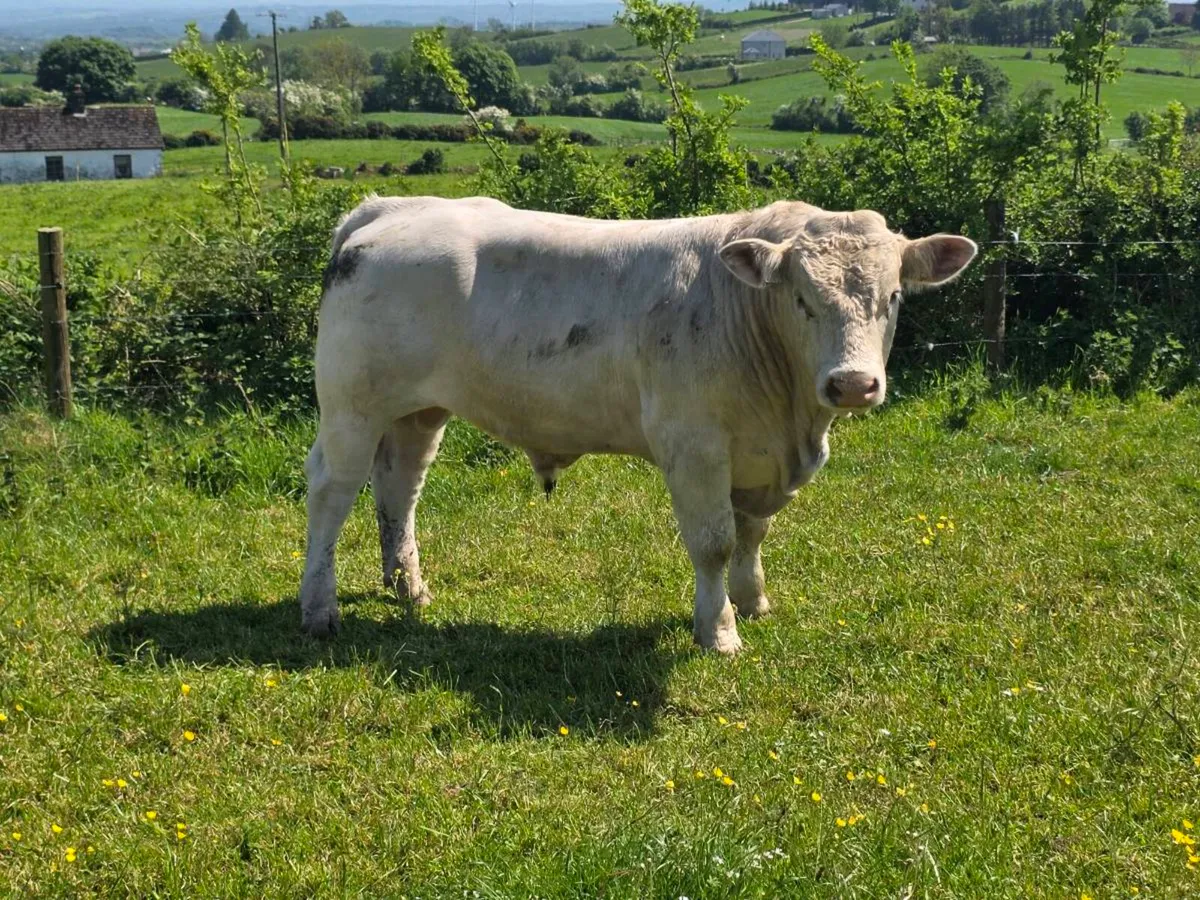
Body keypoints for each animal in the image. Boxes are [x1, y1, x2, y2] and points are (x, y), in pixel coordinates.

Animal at [299, 195, 977, 654]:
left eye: (893, 296)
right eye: (802, 299)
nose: (852, 384)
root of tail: (390, 208)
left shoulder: (758, 455)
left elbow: (752, 533)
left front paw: (753, 601)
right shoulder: (694, 446)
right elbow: (715, 541)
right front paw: (718, 631)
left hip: (417, 411)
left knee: (399, 488)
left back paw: (408, 588)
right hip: (351, 407)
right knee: (332, 493)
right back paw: (319, 608)